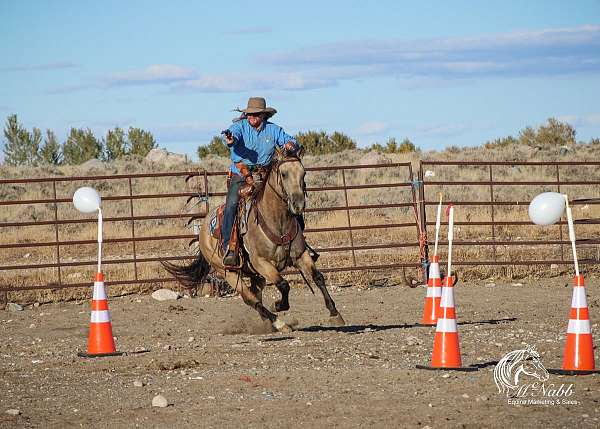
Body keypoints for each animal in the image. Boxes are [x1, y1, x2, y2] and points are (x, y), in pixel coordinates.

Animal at [162, 149, 346, 332]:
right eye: (284, 174)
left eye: (304, 173)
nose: (298, 204)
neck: (277, 221)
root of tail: (204, 228)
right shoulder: (262, 263)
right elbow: (284, 285)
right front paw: (277, 305)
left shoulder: (301, 255)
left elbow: (318, 277)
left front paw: (335, 313)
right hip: (229, 272)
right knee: (250, 298)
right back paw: (278, 323)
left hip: (256, 276)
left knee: (255, 295)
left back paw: (268, 323)